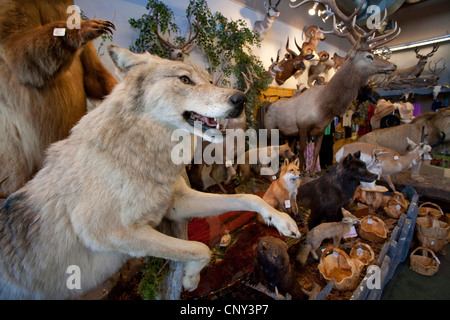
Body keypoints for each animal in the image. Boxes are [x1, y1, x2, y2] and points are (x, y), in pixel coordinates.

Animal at [0, 45, 300, 300]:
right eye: (185, 80)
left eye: (210, 81)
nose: (241, 99)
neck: (140, 156)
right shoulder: (111, 233)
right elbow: (199, 247)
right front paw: (190, 279)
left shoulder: (175, 204)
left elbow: (248, 198)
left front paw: (281, 221)